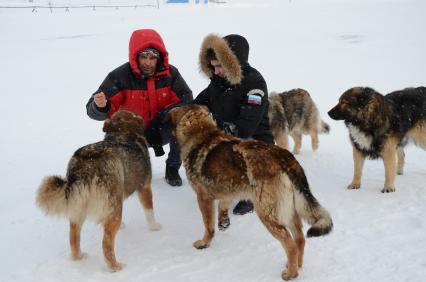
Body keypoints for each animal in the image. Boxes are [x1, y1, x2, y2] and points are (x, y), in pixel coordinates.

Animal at [35, 110, 161, 270]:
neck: (122, 133)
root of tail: (86, 163)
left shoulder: (118, 196)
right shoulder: (144, 187)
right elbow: (149, 211)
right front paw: (154, 226)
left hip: (78, 208)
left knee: (73, 237)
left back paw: (79, 257)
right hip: (111, 211)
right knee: (106, 243)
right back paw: (115, 267)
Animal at [166, 104, 332, 280]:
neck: (201, 133)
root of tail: (284, 157)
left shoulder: (203, 198)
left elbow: (208, 226)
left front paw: (204, 243)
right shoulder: (228, 191)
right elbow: (222, 208)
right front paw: (223, 222)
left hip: (267, 215)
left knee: (290, 244)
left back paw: (291, 274)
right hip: (289, 212)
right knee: (300, 239)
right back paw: (296, 266)